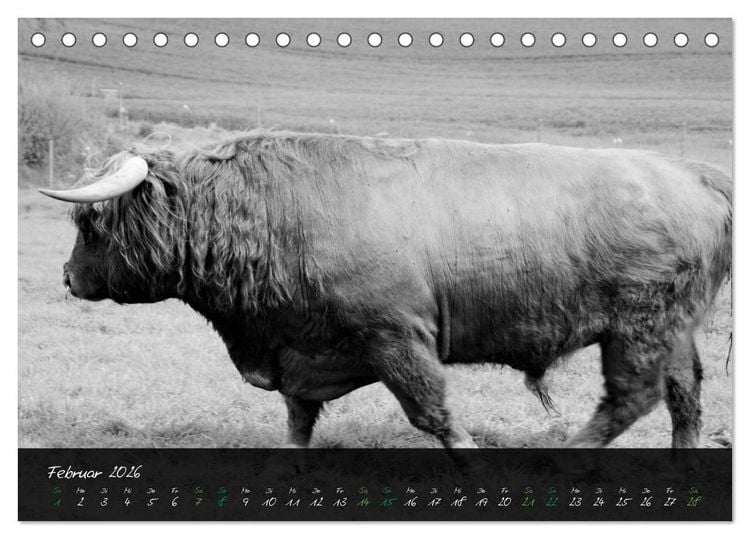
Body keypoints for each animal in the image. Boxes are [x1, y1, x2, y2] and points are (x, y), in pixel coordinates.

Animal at [39, 130, 732, 449]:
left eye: (90, 223)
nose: (68, 277)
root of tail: (693, 173)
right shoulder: (303, 351)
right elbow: (298, 417)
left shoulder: (396, 339)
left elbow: (434, 414)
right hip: (671, 332)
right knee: (685, 397)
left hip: (637, 330)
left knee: (632, 398)